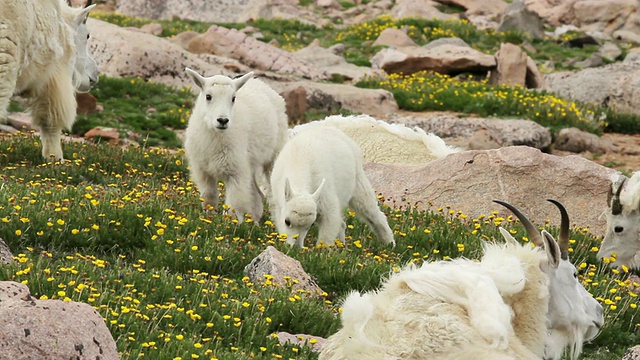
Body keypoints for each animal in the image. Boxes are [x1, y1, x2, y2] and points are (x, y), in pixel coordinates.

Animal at [184, 68, 286, 222]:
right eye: (208, 96)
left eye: (233, 98)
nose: (222, 120)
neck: (215, 136)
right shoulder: (202, 169)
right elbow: (209, 196)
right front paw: (209, 219)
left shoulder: (236, 170)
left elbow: (234, 203)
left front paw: (229, 224)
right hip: (250, 164)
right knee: (256, 193)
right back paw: (254, 222)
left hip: (273, 156)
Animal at [268, 126, 396, 248]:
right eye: (287, 221)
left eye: (309, 225)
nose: (295, 248)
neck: (298, 164)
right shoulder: (279, 203)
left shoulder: (325, 194)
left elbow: (329, 221)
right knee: (343, 223)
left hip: (358, 180)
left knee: (370, 210)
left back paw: (390, 243)